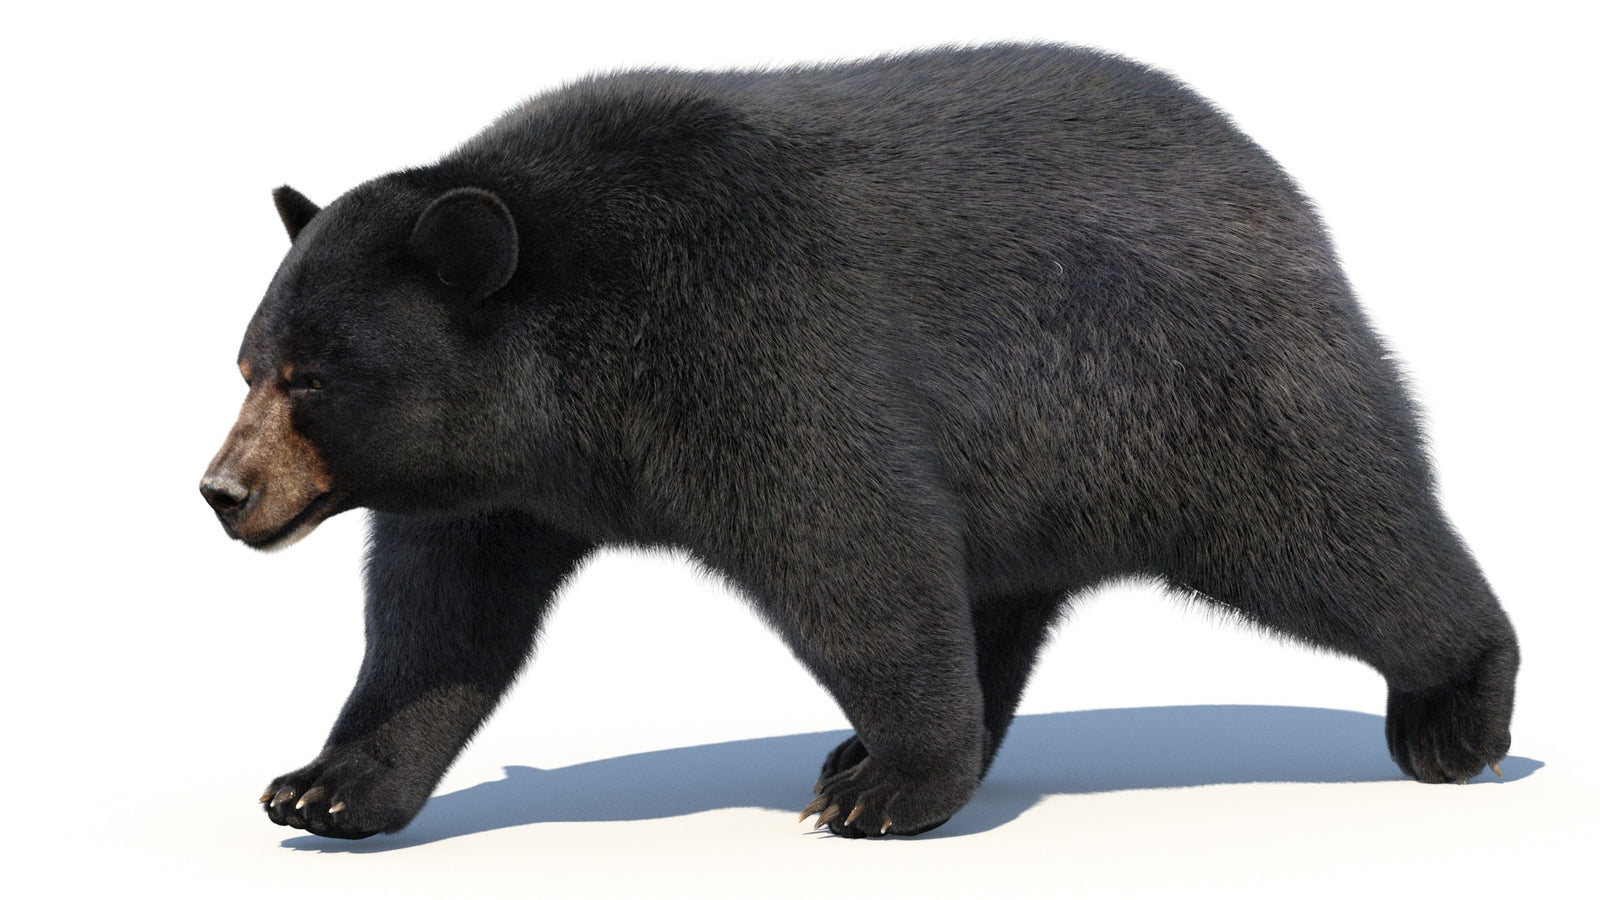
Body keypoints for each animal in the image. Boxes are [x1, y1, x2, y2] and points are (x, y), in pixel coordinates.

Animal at [201, 43, 1518, 840]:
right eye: (250, 365)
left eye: (313, 378)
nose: (224, 491)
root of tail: (1279, 189)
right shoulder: (499, 481)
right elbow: (437, 620)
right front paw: (326, 785)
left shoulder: (745, 342)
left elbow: (849, 545)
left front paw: (890, 790)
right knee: (996, 599)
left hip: (1193, 396)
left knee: (1339, 538)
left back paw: (1457, 711)